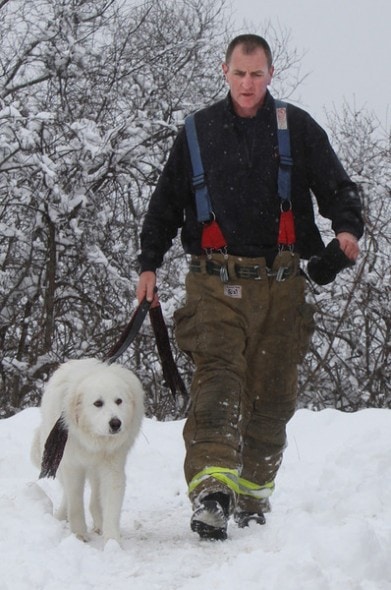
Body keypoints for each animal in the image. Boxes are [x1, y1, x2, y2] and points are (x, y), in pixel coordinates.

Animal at [30, 356, 144, 544]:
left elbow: (111, 506)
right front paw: (79, 534)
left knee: (95, 499)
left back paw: (99, 524)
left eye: (119, 401)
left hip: (95, 469)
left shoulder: (112, 467)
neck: (94, 440)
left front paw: (112, 542)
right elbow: (75, 501)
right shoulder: (72, 466)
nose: (115, 423)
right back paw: (61, 517)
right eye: (98, 403)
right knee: (68, 495)